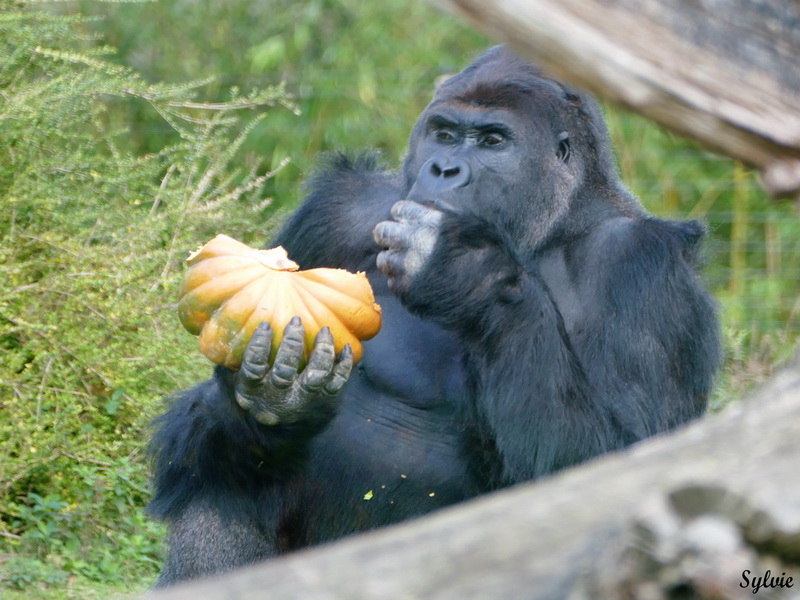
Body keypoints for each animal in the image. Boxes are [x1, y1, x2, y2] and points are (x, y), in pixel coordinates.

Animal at [147, 47, 720, 584]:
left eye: (493, 141)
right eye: (445, 134)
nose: (444, 170)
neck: (553, 226)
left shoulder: (642, 269)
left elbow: (615, 466)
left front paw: (467, 270)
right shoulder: (340, 209)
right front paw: (270, 398)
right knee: (224, 482)